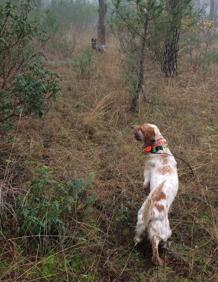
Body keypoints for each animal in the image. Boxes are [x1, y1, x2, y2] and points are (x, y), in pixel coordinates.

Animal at [134, 122, 178, 266]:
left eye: (141, 129)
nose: (132, 127)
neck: (159, 150)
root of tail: (152, 212)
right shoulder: (146, 176)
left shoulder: (146, 174)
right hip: (165, 231)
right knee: (155, 248)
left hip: (141, 223)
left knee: (137, 239)